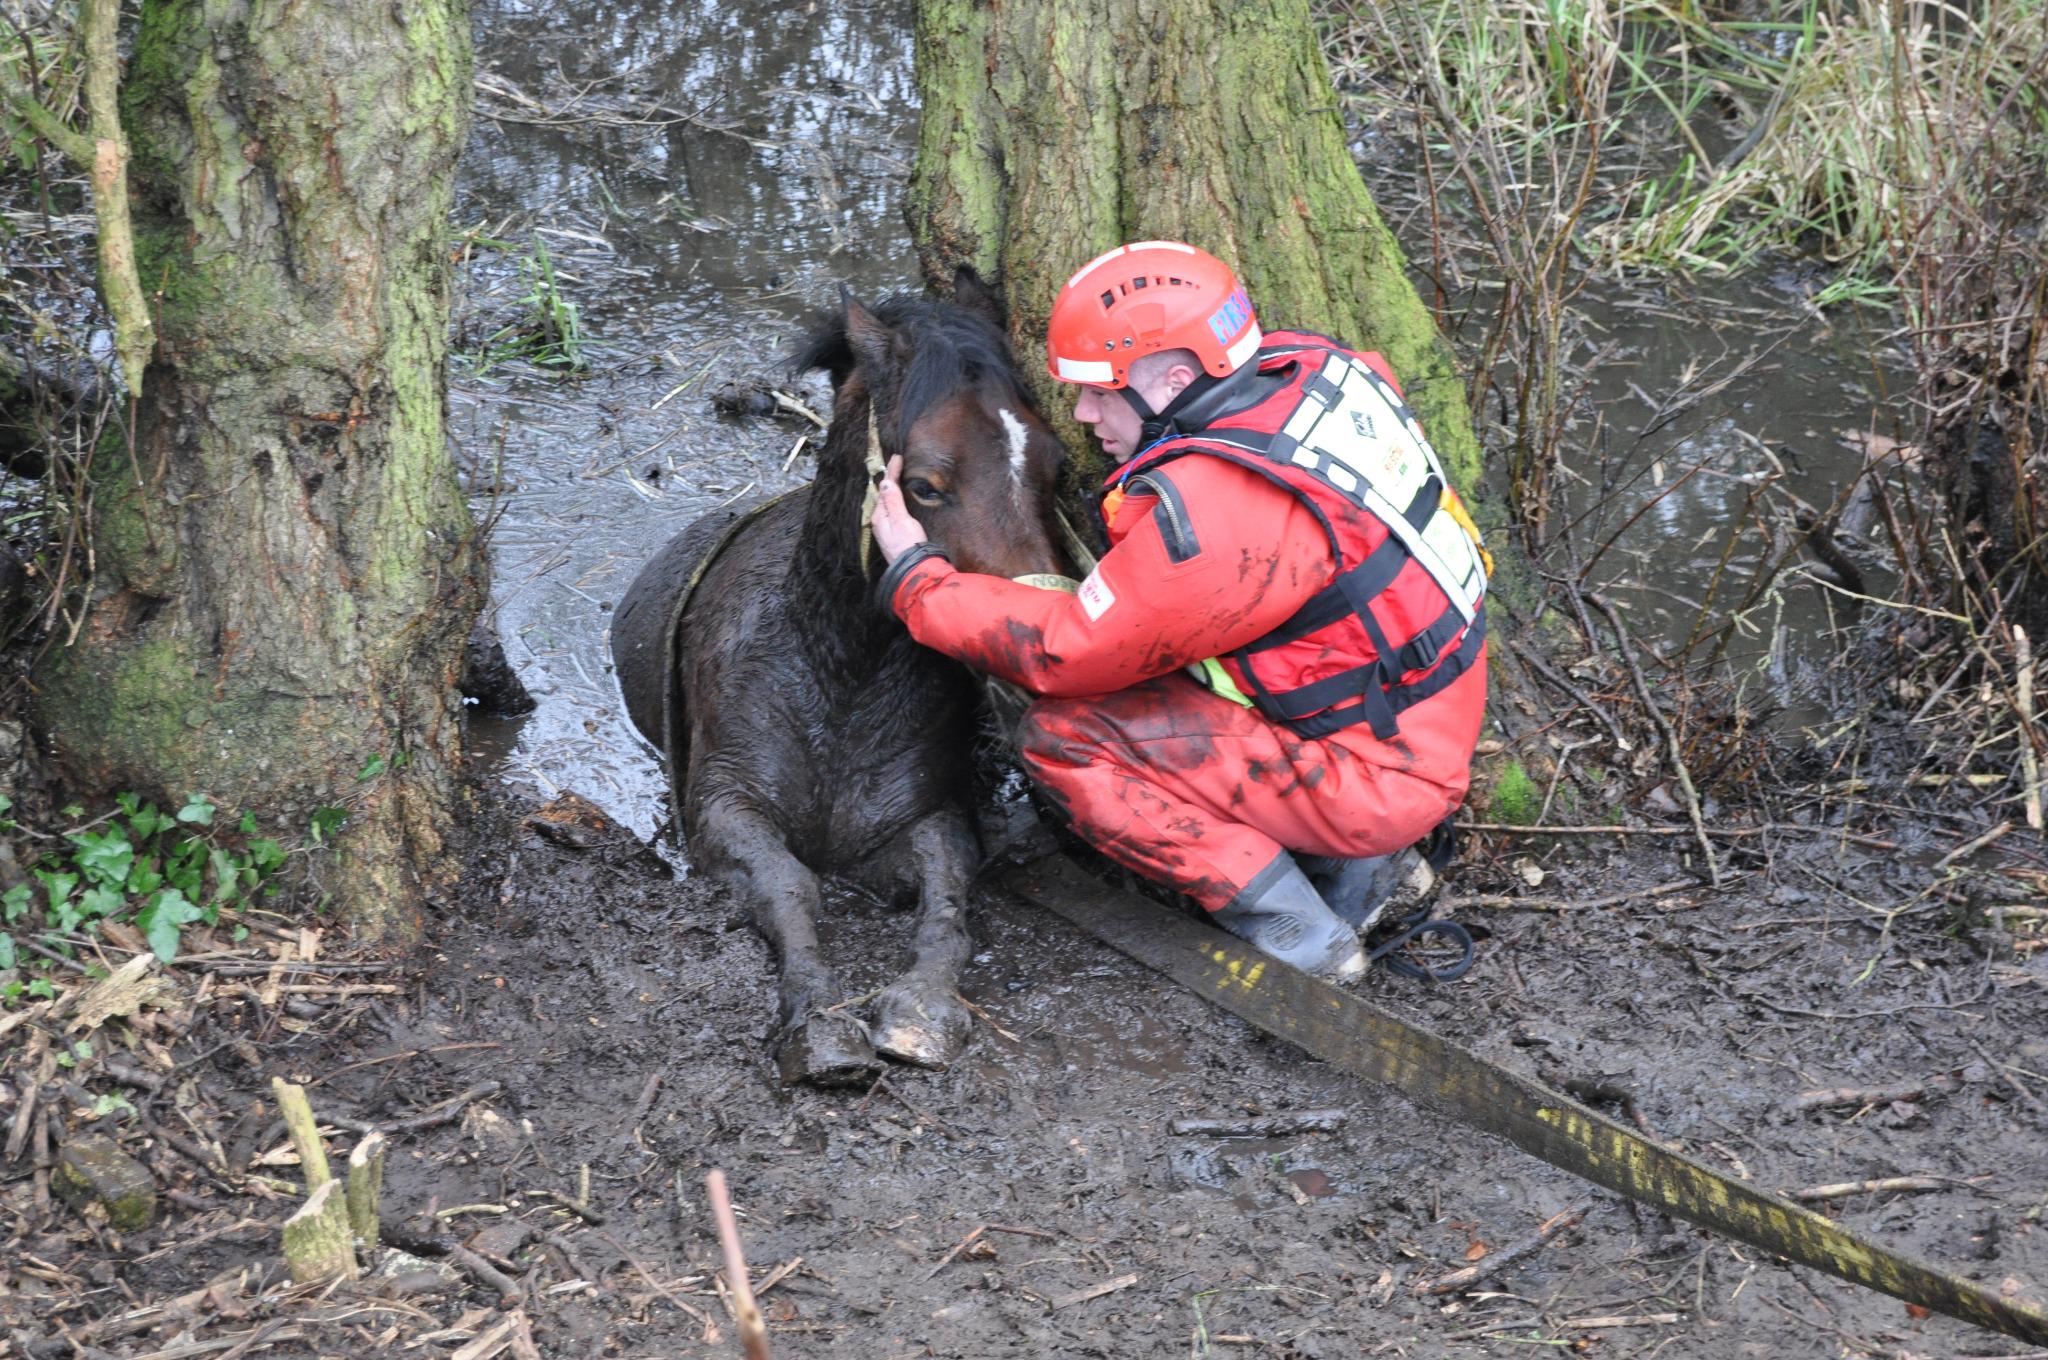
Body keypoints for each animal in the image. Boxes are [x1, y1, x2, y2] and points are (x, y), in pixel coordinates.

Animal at [606, 274, 1064, 1081]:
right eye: (926, 485)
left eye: (1052, 466)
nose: (1034, 648)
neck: (840, 675)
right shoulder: (725, 812)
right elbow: (792, 889)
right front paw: (817, 1022)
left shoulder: (924, 820)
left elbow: (948, 903)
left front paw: (921, 1011)